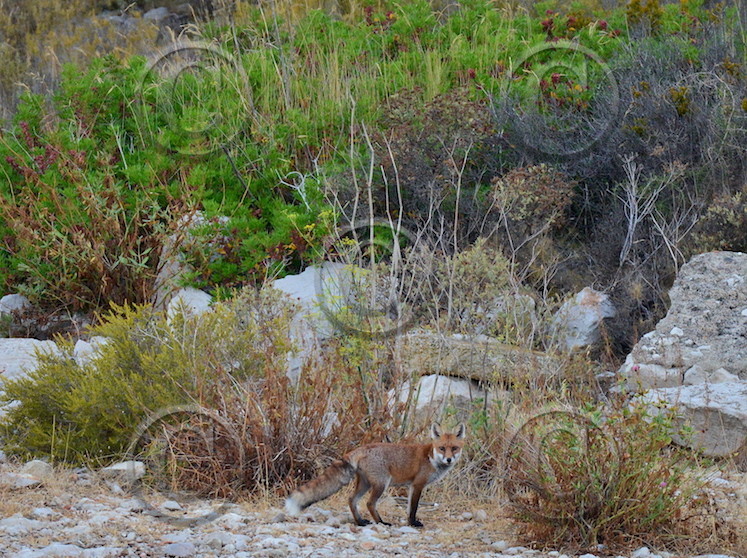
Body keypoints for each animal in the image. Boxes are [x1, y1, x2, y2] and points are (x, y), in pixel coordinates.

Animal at [284, 423, 466, 528]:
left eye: (454, 448)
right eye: (442, 448)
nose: (449, 459)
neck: (431, 457)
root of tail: (361, 448)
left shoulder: (411, 487)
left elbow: (409, 508)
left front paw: (410, 523)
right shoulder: (417, 485)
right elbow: (413, 508)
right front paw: (413, 523)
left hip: (364, 484)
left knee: (351, 500)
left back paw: (360, 522)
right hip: (381, 484)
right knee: (370, 503)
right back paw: (381, 522)